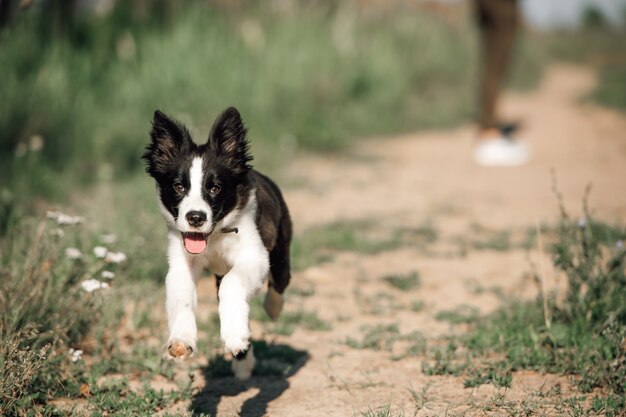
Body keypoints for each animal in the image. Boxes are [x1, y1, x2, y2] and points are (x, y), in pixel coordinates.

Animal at [144, 106, 292, 376]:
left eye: (215, 188)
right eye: (178, 186)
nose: (195, 218)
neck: (213, 237)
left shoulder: (255, 256)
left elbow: (232, 284)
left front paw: (234, 337)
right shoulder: (181, 263)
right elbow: (181, 296)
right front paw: (181, 340)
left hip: (281, 251)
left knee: (279, 281)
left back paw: (272, 310)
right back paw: (243, 360)